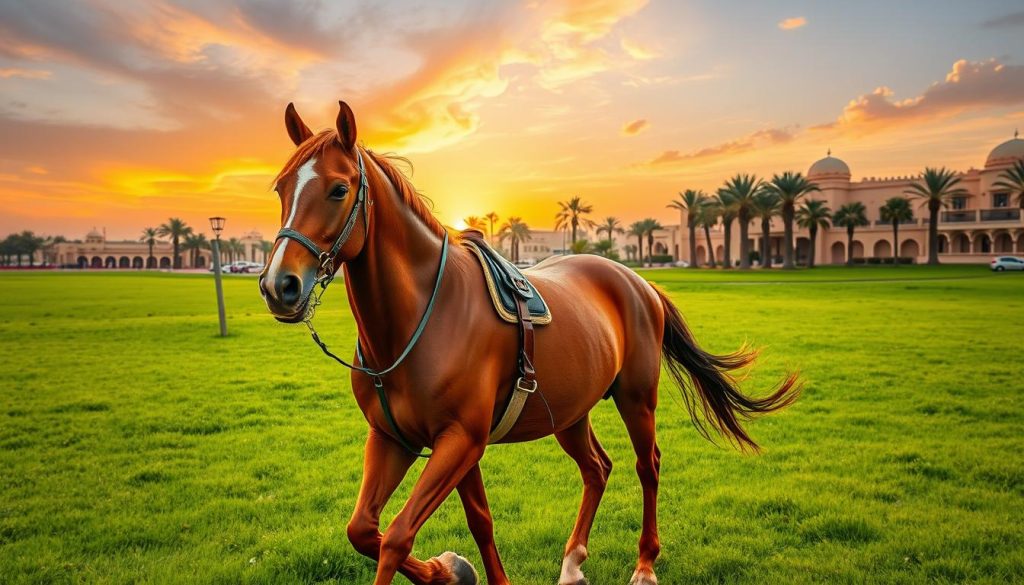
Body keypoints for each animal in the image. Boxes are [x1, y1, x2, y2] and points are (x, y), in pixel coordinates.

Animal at [259, 101, 800, 585]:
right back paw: (573, 562)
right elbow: (384, 530)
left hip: (636, 397)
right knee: (597, 469)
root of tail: (638, 281)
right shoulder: (402, 439)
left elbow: (395, 538)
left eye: (338, 188)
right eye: (281, 187)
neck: (420, 320)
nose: (279, 285)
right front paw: (451, 571)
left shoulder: (461, 439)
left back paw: (645, 564)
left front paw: (447, 569)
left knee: (648, 466)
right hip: (570, 411)